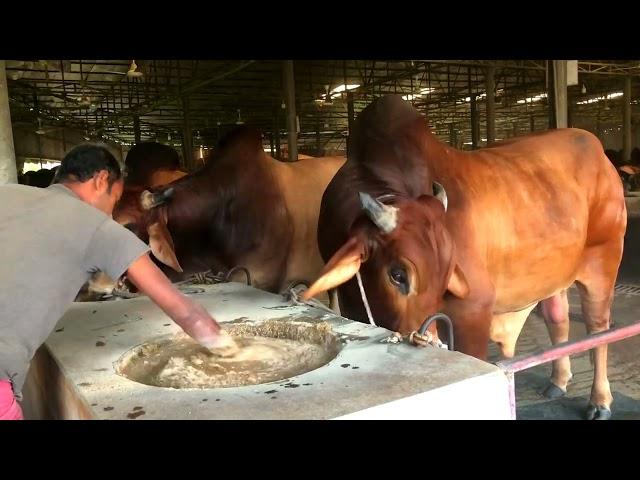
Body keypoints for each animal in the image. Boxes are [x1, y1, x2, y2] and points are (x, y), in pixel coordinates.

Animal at [304, 94, 624, 420]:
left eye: (447, 274)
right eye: (397, 275)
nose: (427, 341)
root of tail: (596, 149)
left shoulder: (473, 310)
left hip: (604, 259)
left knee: (598, 327)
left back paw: (600, 401)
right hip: (555, 272)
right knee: (557, 317)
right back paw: (558, 381)